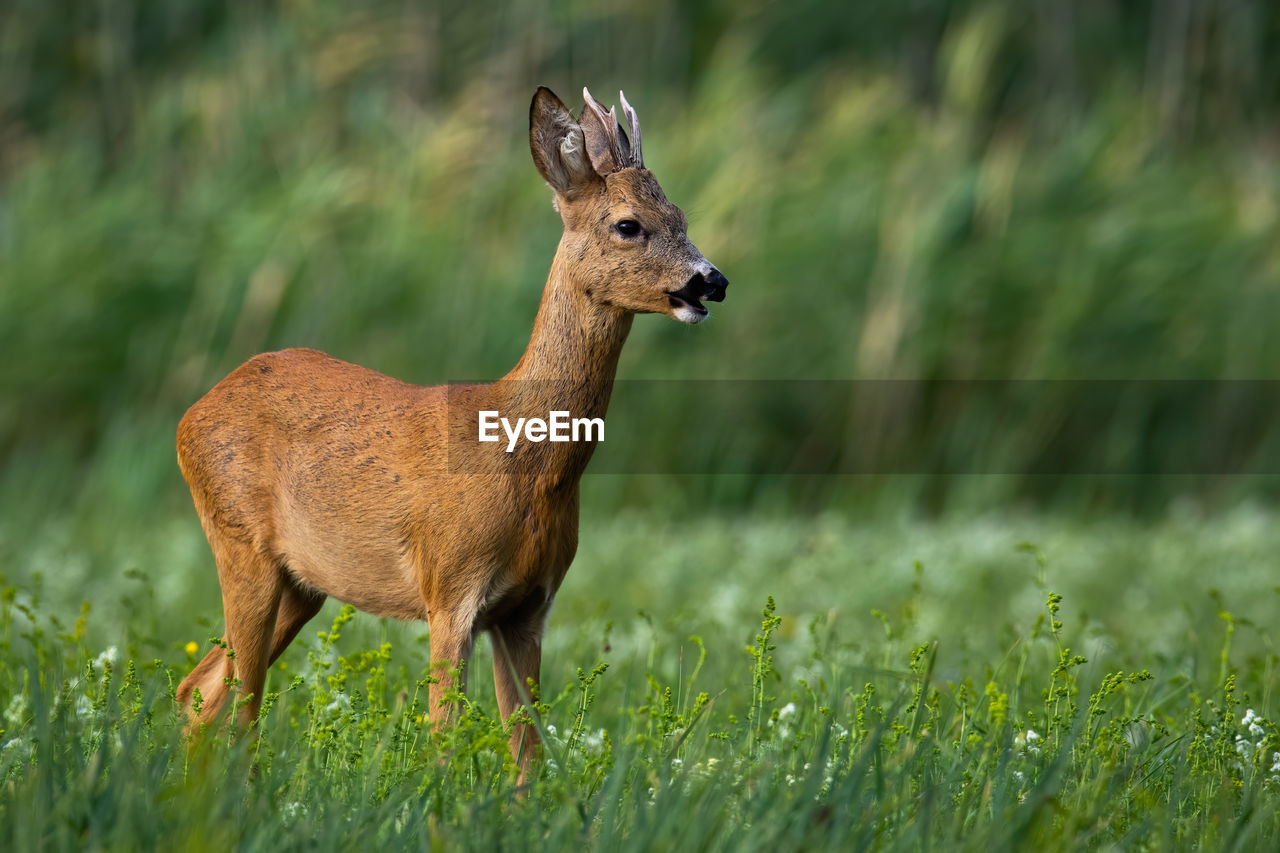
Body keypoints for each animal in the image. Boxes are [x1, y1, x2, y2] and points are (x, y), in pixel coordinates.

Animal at [174, 86, 727, 768]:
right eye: (628, 224)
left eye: (680, 215)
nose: (712, 281)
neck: (522, 457)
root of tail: (192, 413)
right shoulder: (450, 588)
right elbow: (444, 738)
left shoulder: (528, 606)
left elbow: (528, 749)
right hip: (239, 542)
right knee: (241, 706)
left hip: (301, 582)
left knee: (200, 691)